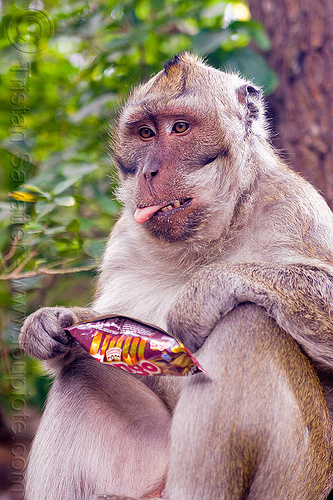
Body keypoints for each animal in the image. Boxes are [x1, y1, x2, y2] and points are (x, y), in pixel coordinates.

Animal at [18, 52, 333, 498]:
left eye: (180, 128)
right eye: (145, 133)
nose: (149, 171)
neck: (209, 238)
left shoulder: (296, 209)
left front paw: (206, 289)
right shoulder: (122, 239)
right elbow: (103, 328)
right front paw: (50, 325)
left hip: (302, 476)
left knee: (248, 323)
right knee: (83, 371)